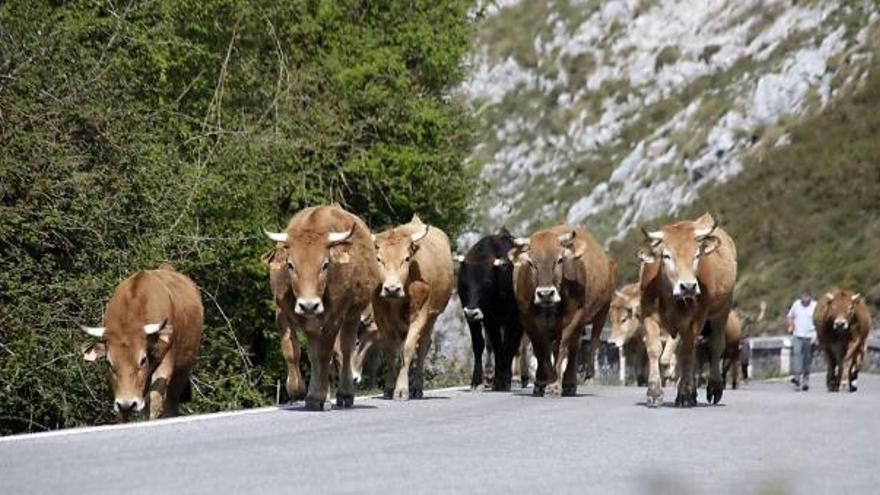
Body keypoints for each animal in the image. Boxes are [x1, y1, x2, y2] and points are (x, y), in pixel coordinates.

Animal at [79, 264, 203, 422]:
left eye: (143, 360)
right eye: (108, 362)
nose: (127, 404)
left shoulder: (165, 363)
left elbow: (155, 402)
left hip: (181, 373)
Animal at [264, 205, 382, 410]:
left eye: (325, 264)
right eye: (290, 265)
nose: (309, 305)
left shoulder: (333, 318)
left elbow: (324, 354)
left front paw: (317, 396)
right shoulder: (281, 312)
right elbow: (292, 352)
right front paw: (298, 390)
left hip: (352, 315)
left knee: (345, 350)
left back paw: (344, 393)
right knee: (315, 353)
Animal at [372, 215, 454, 402]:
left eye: (407, 258)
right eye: (379, 259)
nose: (392, 289)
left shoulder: (420, 314)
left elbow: (408, 348)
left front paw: (402, 390)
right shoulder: (380, 317)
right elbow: (390, 351)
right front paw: (388, 388)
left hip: (432, 316)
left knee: (423, 345)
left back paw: (417, 388)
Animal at [458, 228, 524, 392]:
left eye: (487, 283)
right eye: (464, 283)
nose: (471, 312)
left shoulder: (515, 319)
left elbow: (509, 345)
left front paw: (504, 380)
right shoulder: (487, 320)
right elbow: (484, 345)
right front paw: (478, 382)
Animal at [506, 227, 616, 398]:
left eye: (559, 260)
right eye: (531, 263)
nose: (545, 294)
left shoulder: (573, 318)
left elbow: (562, 349)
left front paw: (554, 385)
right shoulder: (528, 320)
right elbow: (540, 350)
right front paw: (541, 382)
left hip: (601, 313)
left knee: (588, 344)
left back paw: (576, 381)